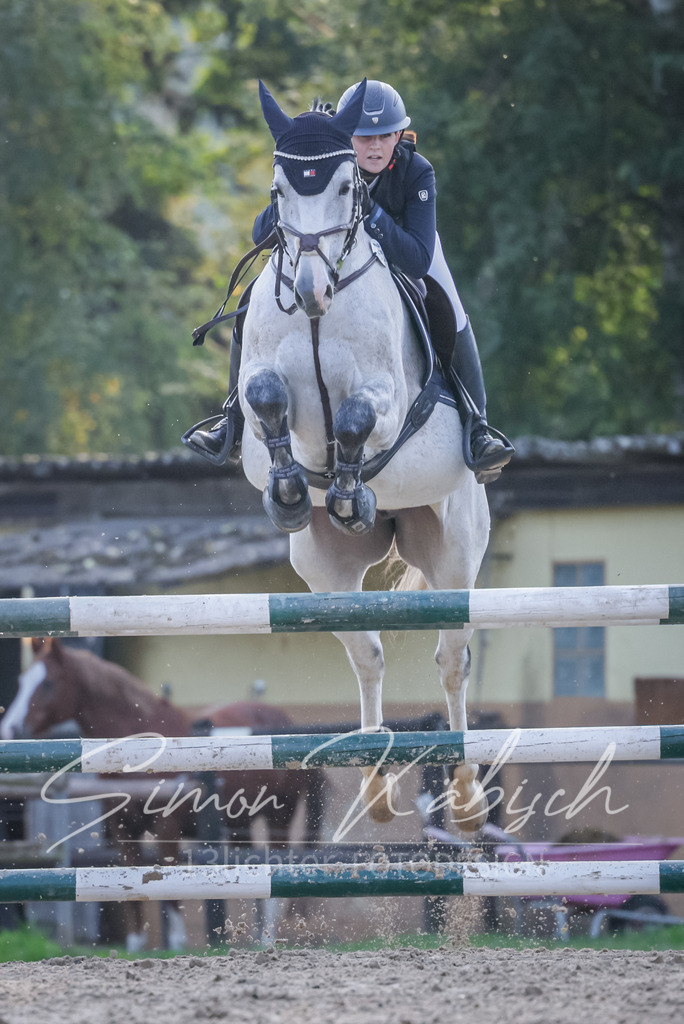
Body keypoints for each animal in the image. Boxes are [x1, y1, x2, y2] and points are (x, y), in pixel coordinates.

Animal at [0, 637, 325, 950]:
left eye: (48, 683)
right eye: (22, 680)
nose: (11, 729)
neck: (139, 750)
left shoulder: (166, 827)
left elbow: (168, 884)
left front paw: (178, 944)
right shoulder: (122, 829)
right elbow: (131, 883)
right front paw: (136, 946)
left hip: (279, 817)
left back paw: (267, 941)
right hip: (238, 825)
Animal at [237, 80, 491, 832]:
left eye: (349, 183)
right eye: (280, 189)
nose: (311, 292)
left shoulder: (384, 399)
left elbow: (354, 418)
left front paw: (349, 488)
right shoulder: (261, 388)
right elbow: (265, 399)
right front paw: (294, 488)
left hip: (455, 555)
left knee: (452, 659)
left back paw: (466, 800)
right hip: (323, 571)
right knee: (368, 654)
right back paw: (376, 787)